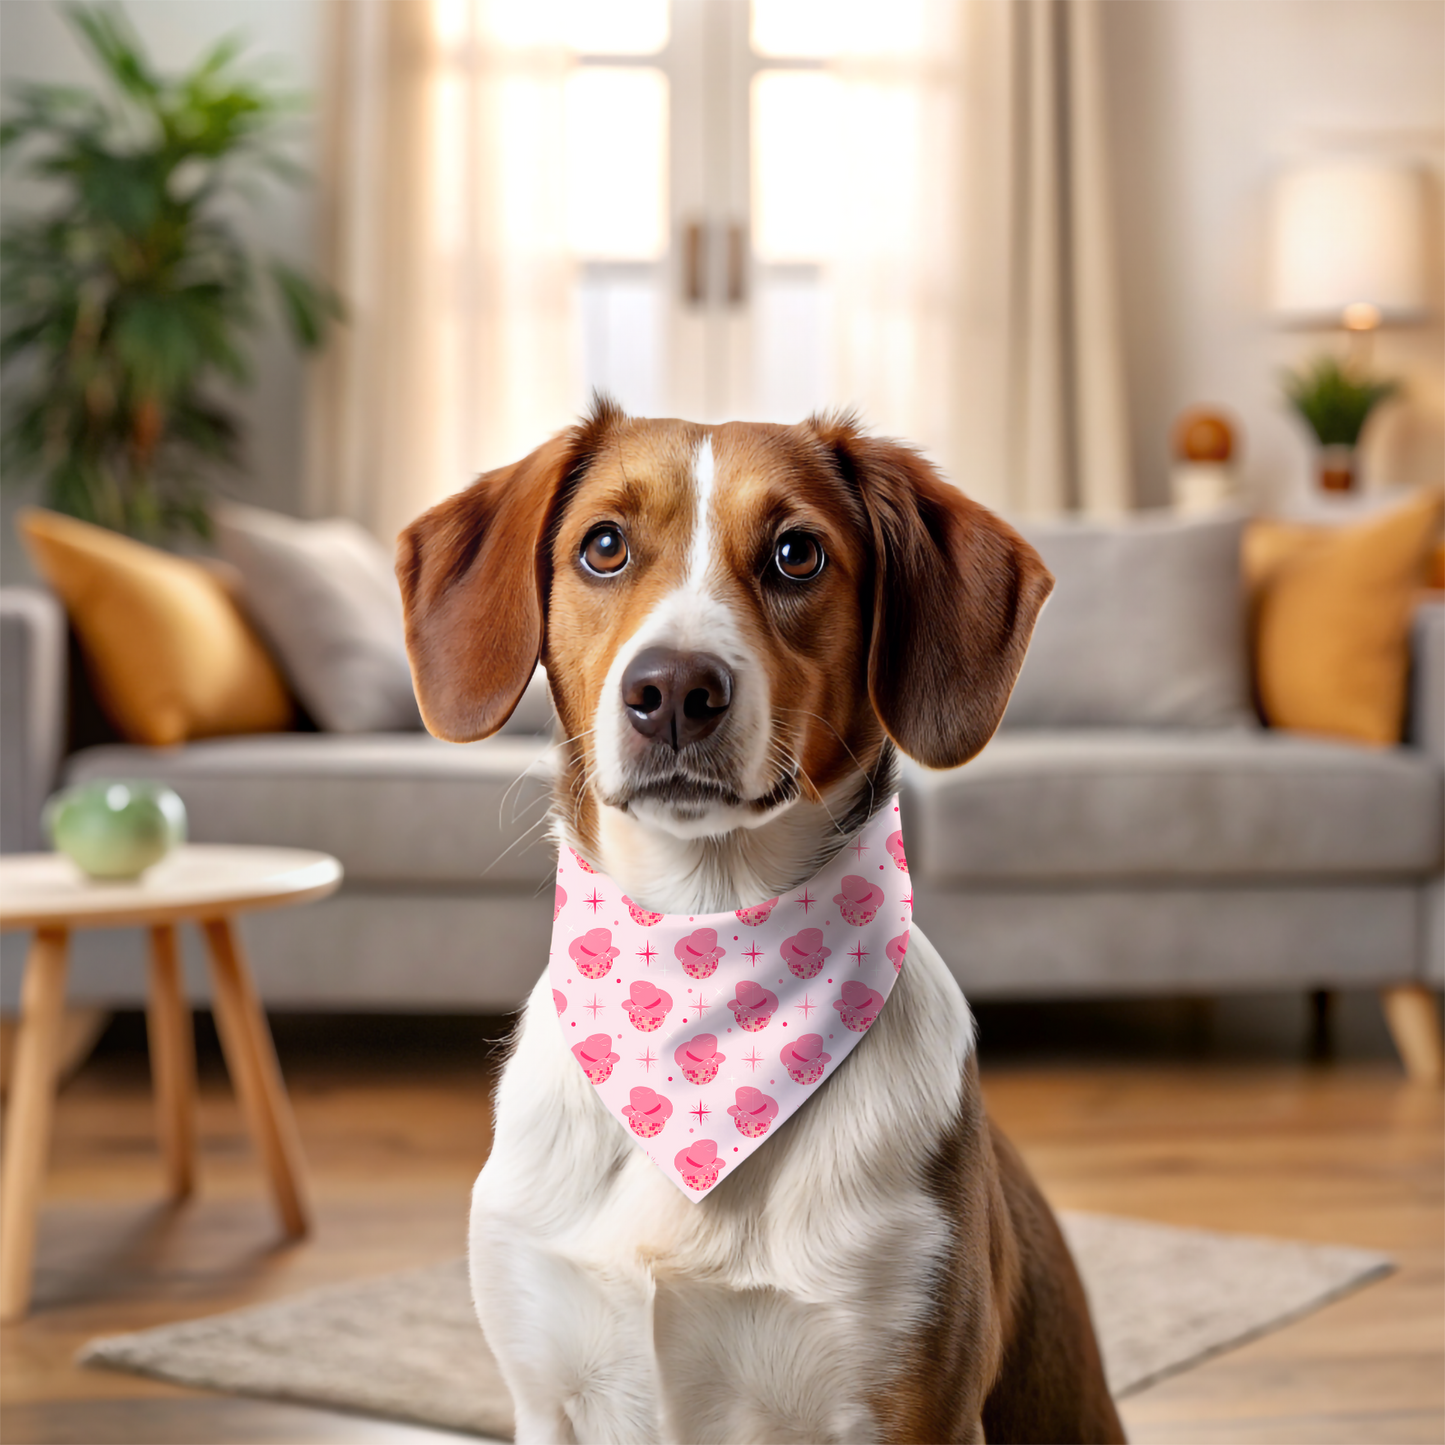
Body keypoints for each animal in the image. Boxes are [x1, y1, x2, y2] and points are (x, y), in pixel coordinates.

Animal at [398, 398, 1127, 1445]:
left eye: (796, 553)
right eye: (604, 546)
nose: (672, 689)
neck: (700, 961)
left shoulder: (912, 1403)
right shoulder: (546, 1394)